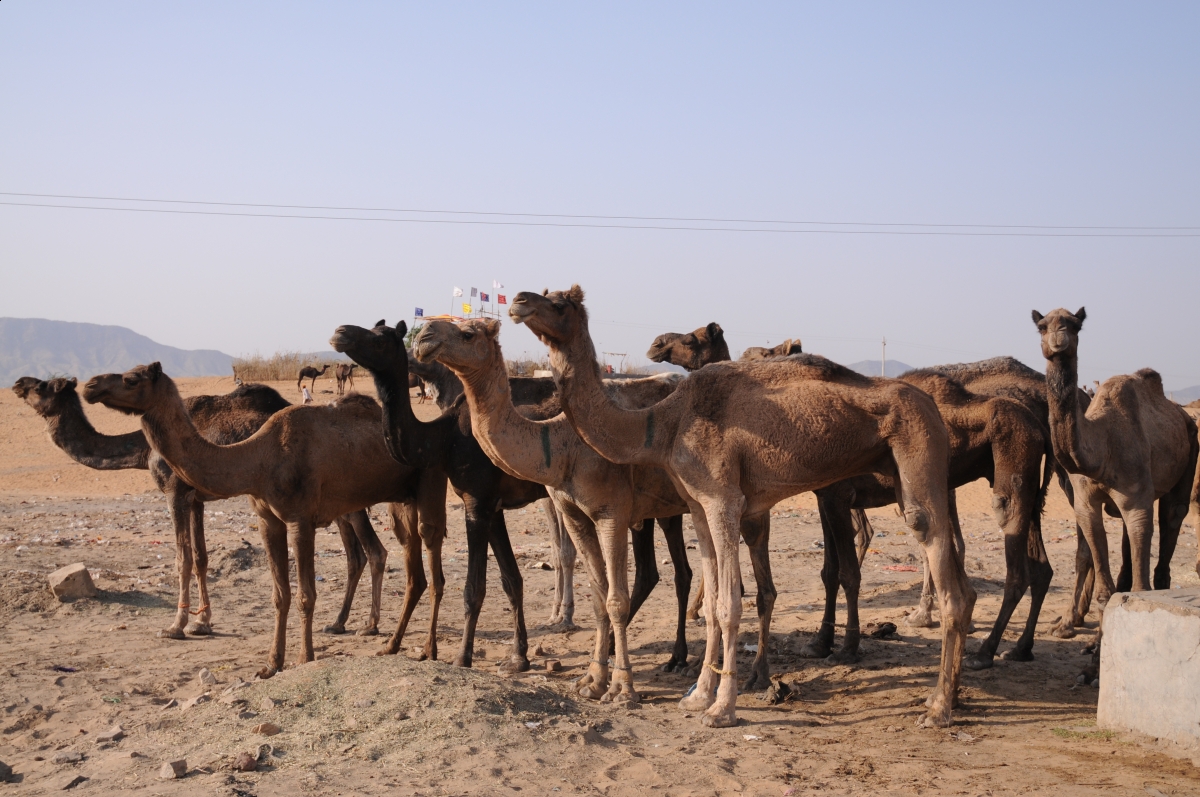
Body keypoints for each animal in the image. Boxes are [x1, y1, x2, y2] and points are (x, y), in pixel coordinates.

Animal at [83, 363, 449, 678]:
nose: (90, 385)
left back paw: (429, 650)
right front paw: (271, 664)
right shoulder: (266, 520)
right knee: (412, 565)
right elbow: (279, 595)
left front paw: (304, 658)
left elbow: (305, 595)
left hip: (430, 480)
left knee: (432, 555)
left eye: (132, 379)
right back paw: (390, 645)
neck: (259, 458)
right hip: (401, 498)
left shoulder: (301, 519)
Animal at [411, 318, 708, 701]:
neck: (561, 441)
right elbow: (597, 594)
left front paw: (622, 688)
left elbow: (615, 598)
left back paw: (690, 663)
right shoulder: (569, 510)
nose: (424, 336)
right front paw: (592, 679)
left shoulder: (610, 512)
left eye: (468, 333)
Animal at [512, 286, 973, 729]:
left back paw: (937, 709)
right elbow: (713, 602)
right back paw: (953, 695)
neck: (665, 422)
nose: (518, 301)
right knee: (960, 582)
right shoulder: (698, 505)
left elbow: (730, 604)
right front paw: (698, 696)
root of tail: (931, 405)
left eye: (559, 303)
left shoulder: (723, 499)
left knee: (933, 548)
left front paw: (721, 709)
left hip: (919, 445)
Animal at [1033, 307, 1198, 679]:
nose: (1059, 340)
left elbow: (1139, 588)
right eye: (1041, 326)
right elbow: (1106, 591)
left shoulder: (1137, 503)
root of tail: (1184, 414)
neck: (1101, 449)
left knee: (1172, 520)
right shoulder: (1086, 505)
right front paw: (1093, 666)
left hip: (1190, 455)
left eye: (1075, 324)